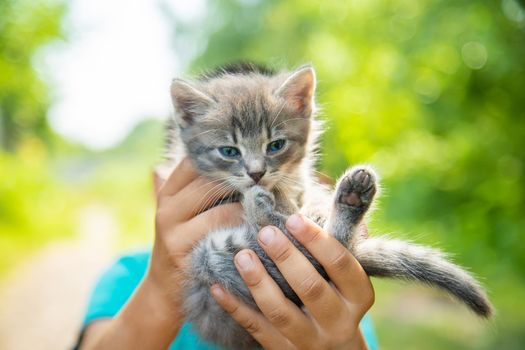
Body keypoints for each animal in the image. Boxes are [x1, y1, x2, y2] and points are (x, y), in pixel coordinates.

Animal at [166, 63, 494, 350]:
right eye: (229, 151)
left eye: (276, 145)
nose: (257, 173)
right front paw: (273, 197)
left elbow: (301, 197)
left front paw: (312, 205)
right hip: (210, 258)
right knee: (307, 246)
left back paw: (350, 198)